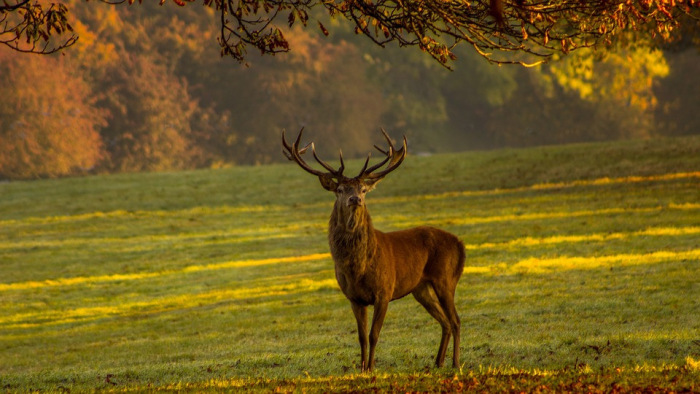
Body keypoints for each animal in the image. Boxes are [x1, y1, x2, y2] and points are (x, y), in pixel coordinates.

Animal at [278, 127, 464, 370]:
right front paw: (362, 367)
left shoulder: (384, 291)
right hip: (420, 288)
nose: (355, 199)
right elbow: (361, 336)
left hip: (445, 279)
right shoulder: (354, 298)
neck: (358, 269)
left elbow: (374, 334)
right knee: (445, 321)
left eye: (364, 189)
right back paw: (438, 361)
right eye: (340, 189)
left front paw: (372, 366)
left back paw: (455, 362)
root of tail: (460, 244)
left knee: (456, 320)